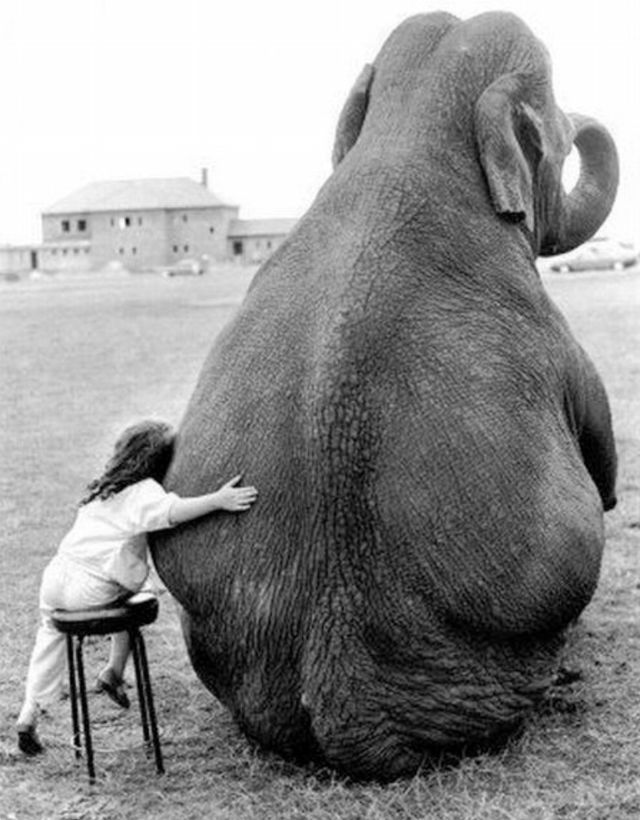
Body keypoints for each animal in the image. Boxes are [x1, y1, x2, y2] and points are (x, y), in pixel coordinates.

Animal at [152, 12, 616, 780]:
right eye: (552, 129)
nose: (583, 122)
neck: (408, 133)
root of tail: (346, 702)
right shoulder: (556, 336)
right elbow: (603, 461)